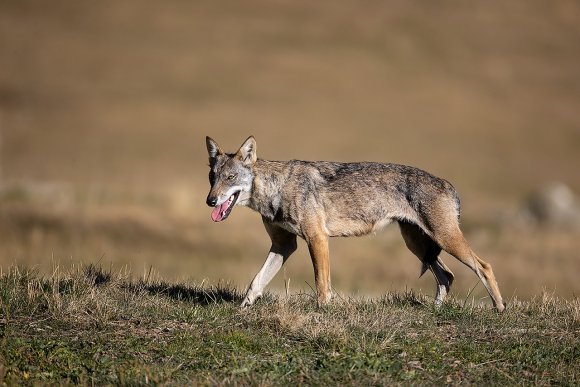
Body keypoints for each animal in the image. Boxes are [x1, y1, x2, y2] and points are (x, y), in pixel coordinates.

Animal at [206, 136, 506, 312]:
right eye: (212, 177)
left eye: (230, 178)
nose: (210, 201)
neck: (277, 188)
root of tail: (447, 184)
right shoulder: (284, 245)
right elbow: (256, 281)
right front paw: (243, 310)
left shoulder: (317, 239)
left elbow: (322, 284)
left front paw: (323, 311)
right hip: (418, 246)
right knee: (447, 276)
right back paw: (435, 311)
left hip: (444, 240)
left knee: (484, 266)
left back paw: (500, 308)